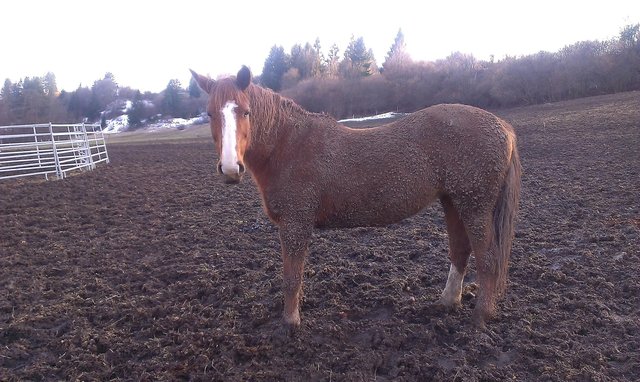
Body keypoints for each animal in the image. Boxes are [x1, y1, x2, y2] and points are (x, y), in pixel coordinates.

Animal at [190, 65, 520, 328]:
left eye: (246, 112)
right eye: (210, 114)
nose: (230, 168)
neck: (289, 146)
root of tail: (503, 127)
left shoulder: (295, 224)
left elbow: (291, 276)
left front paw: (290, 323)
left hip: (474, 205)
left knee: (487, 258)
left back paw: (480, 316)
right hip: (453, 202)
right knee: (460, 251)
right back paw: (447, 302)